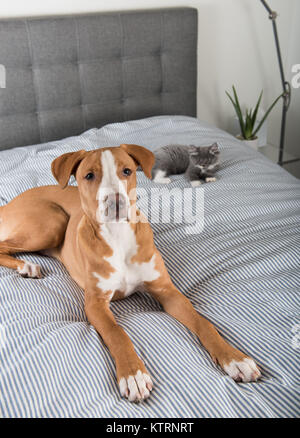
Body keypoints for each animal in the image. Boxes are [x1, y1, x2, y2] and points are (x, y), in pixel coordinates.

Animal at [0, 145, 260, 402]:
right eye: (89, 176)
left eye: (126, 171)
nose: (115, 202)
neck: (118, 236)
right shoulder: (95, 303)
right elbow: (117, 333)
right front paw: (133, 374)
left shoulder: (168, 291)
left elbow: (203, 323)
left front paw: (234, 358)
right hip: (51, 221)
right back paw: (27, 266)